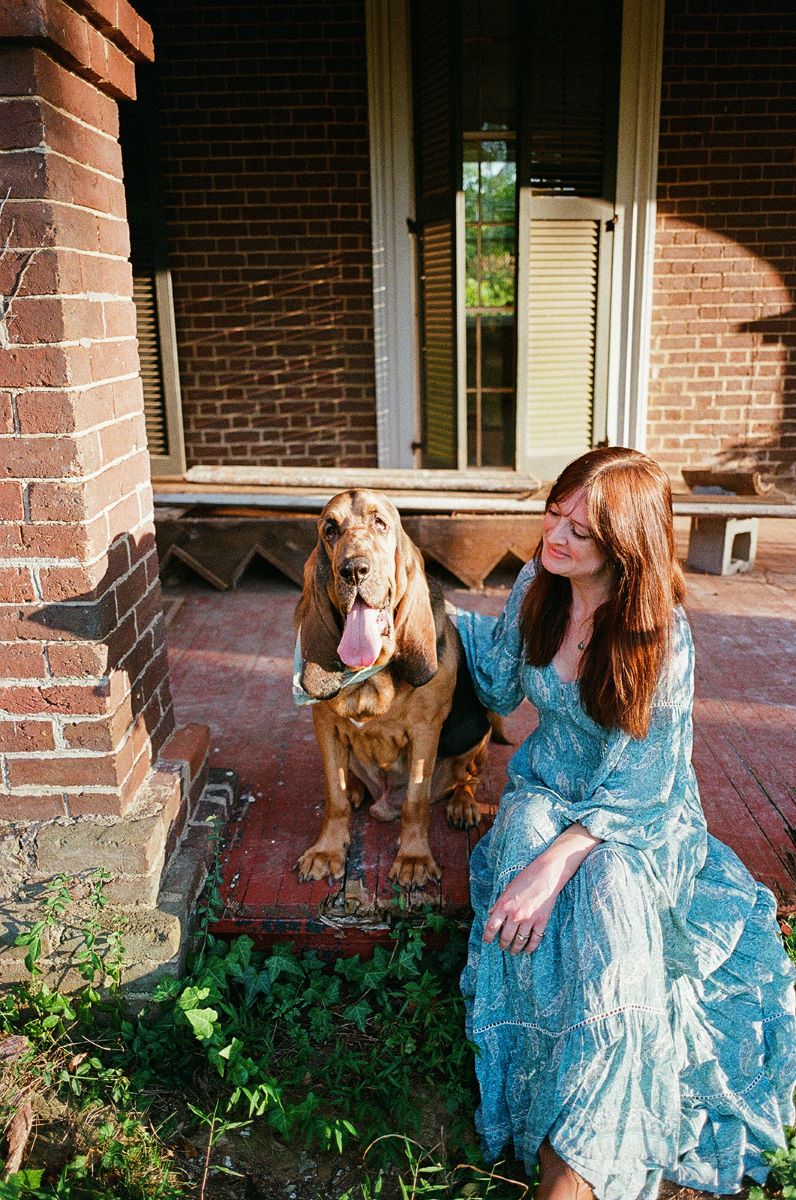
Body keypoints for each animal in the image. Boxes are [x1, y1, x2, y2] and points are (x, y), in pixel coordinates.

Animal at [292, 487, 492, 892]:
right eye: (330, 530)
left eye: (380, 523)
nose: (353, 569)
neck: (368, 675)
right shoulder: (324, 726)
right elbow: (334, 796)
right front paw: (327, 851)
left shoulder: (425, 732)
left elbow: (415, 801)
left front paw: (414, 860)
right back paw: (356, 788)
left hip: (478, 732)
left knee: (468, 776)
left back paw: (462, 804)